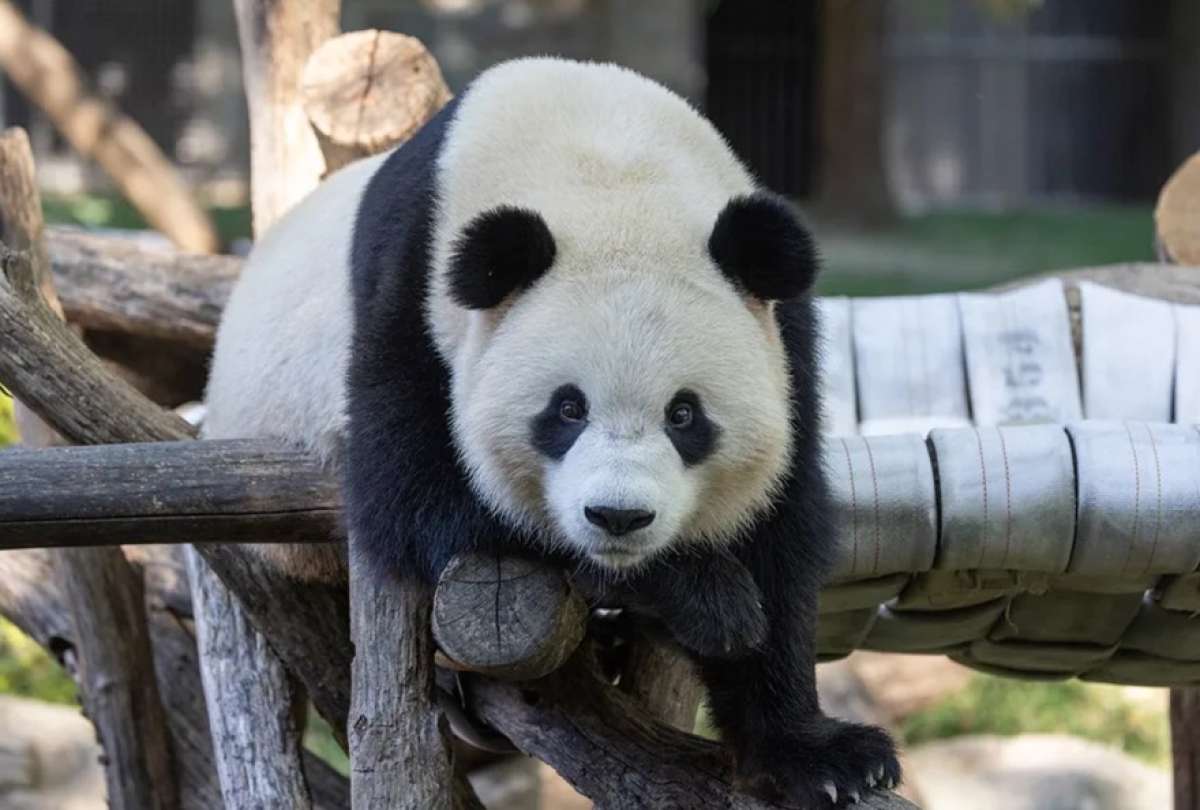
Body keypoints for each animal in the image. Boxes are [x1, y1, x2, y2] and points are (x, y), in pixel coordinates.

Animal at [205, 57, 899, 806]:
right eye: (567, 410)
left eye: (684, 415)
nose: (618, 518)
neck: (610, 170)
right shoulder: (410, 293)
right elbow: (418, 499)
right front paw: (707, 599)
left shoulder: (783, 336)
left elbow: (781, 534)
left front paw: (822, 755)